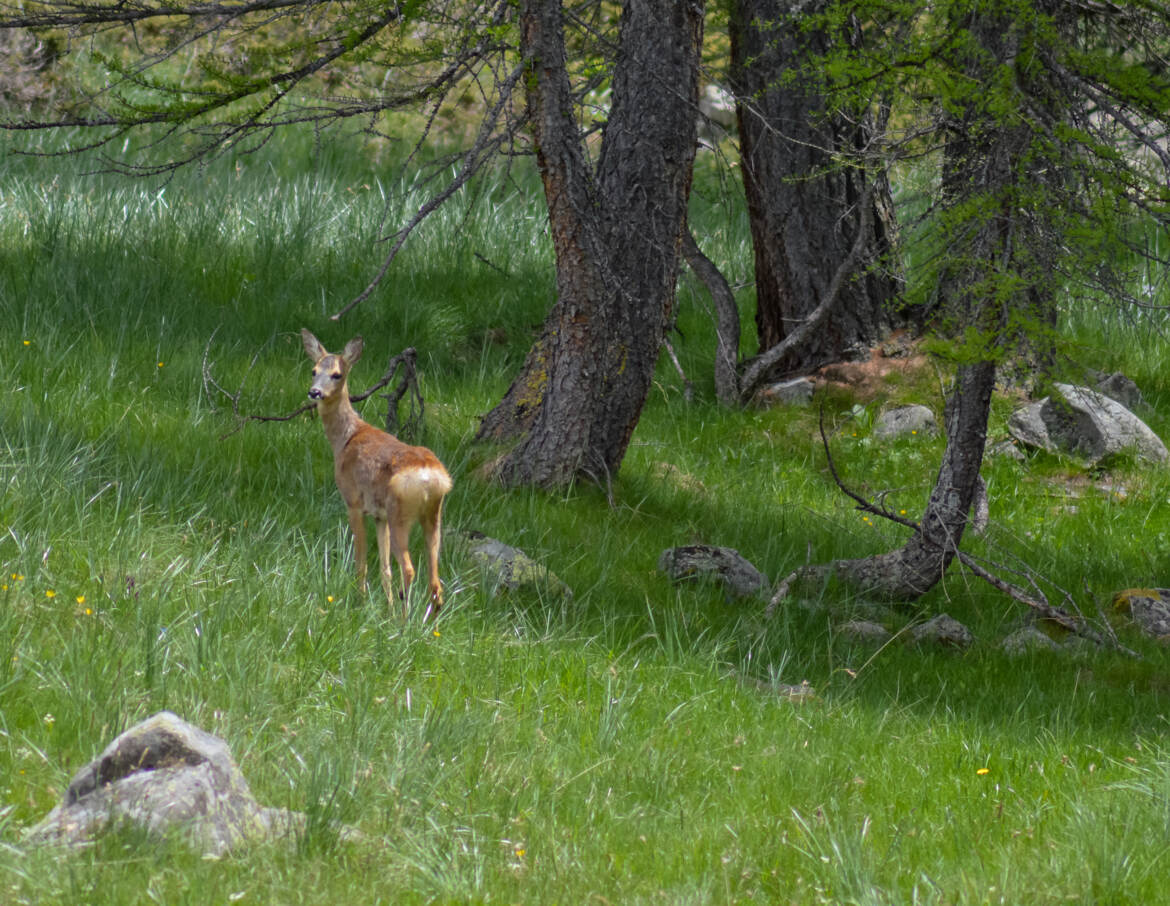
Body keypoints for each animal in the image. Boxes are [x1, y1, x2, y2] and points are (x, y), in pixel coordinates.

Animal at [301, 330, 451, 622]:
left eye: (337, 374)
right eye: (314, 370)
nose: (314, 392)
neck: (345, 439)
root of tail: (431, 478)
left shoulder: (353, 502)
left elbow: (361, 562)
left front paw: (360, 604)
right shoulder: (379, 515)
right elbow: (384, 568)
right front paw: (387, 607)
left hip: (400, 512)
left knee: (409, 568)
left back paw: (404, 621)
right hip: (432, 515)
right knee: (435, 579)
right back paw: (428, 622)